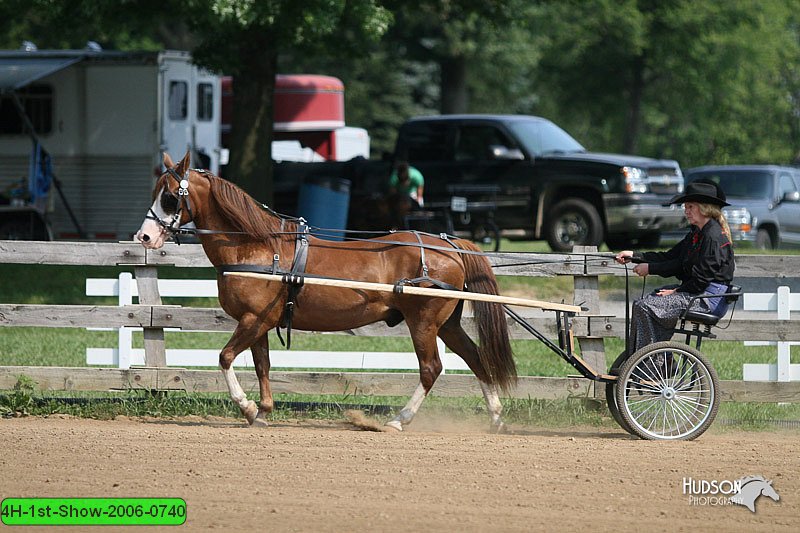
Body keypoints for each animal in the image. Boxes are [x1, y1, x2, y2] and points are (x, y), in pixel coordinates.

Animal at [135, 152, 516, 430]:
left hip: (423, 323)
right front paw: (264, 411)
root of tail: (449, 245)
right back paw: (496, 417)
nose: (145, 237)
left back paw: (399, 420)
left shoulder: (254, 319)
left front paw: (247, 407)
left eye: (170, 196)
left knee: (431, 368)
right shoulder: (258, 322)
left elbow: (226, 358)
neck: (257, 247)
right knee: (475, 358)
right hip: (447, 324)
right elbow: (262, 365)